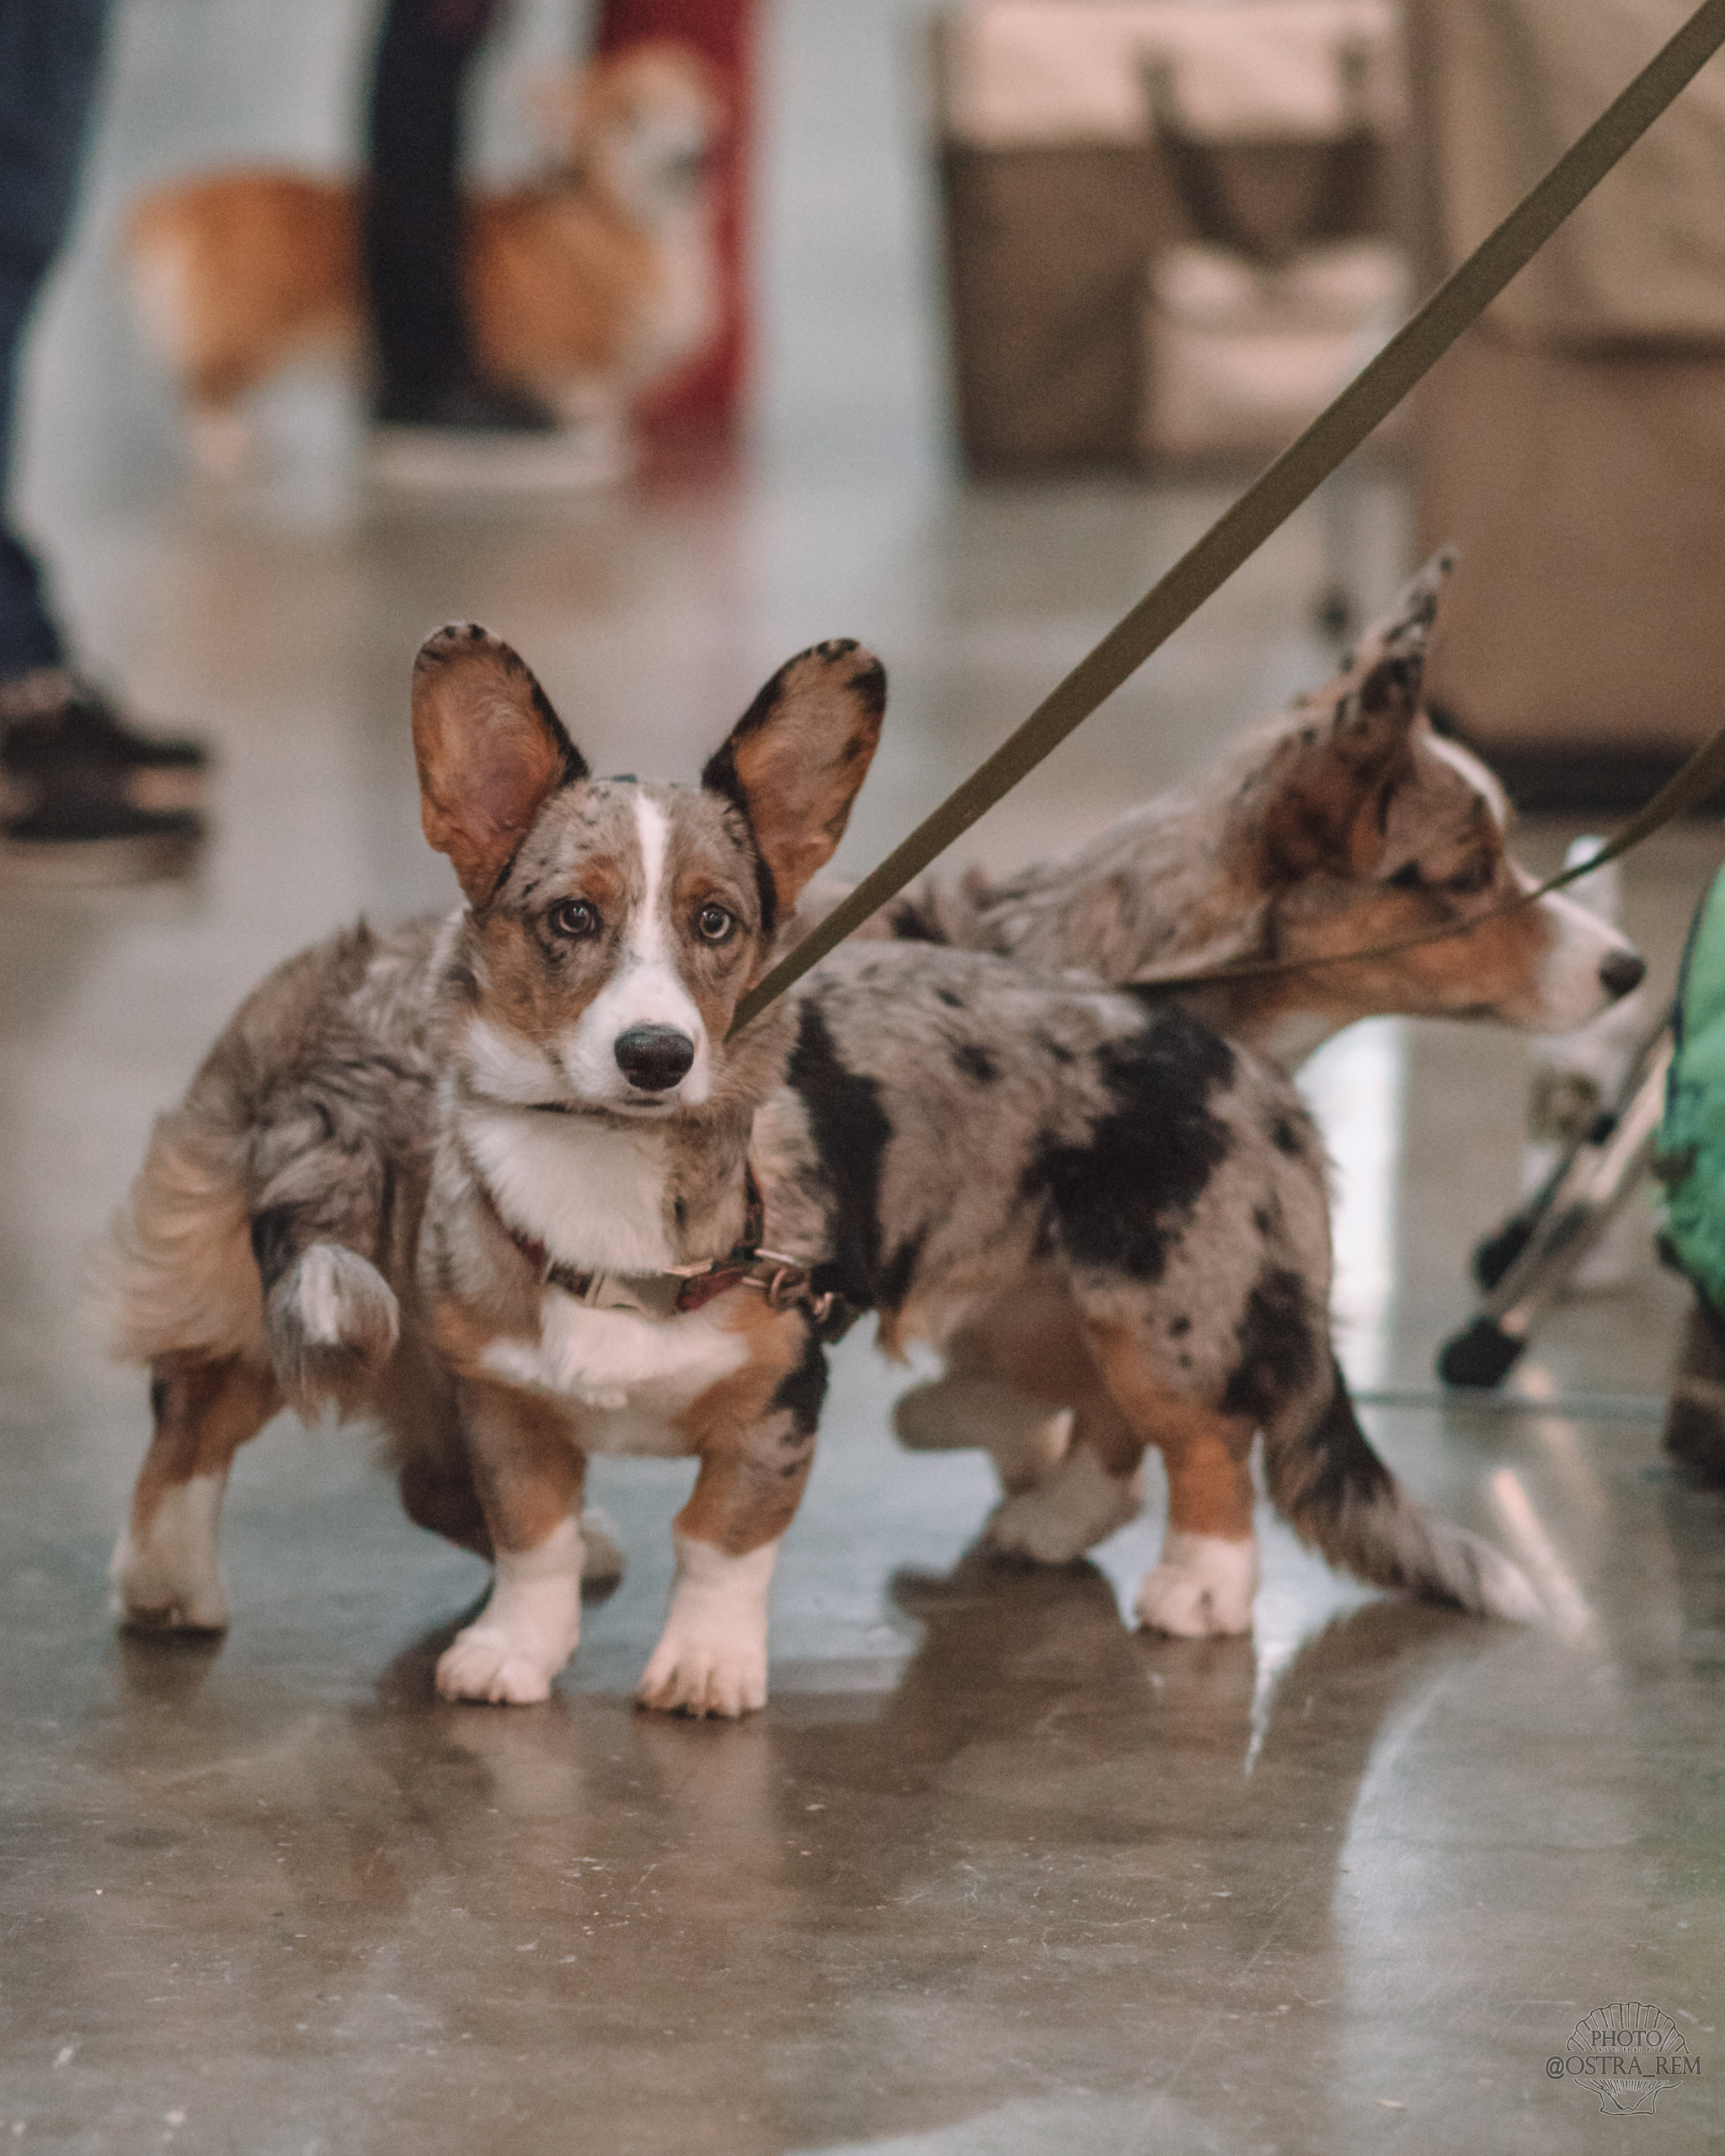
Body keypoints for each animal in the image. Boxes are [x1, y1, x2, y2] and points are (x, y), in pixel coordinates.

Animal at [108, 629, 1535, 1716]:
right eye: (572, 917)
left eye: (716, 922)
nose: (655, 1055)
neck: (614, 1178)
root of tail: (1250, 1071)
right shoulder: (503, 1404)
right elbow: (532, 1541)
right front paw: (513, 1655)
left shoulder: (781, 1403)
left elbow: (720, 1544)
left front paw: (703, 1672)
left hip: (1157, 1318)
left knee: (1207, 1448)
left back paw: (1202, 1589)